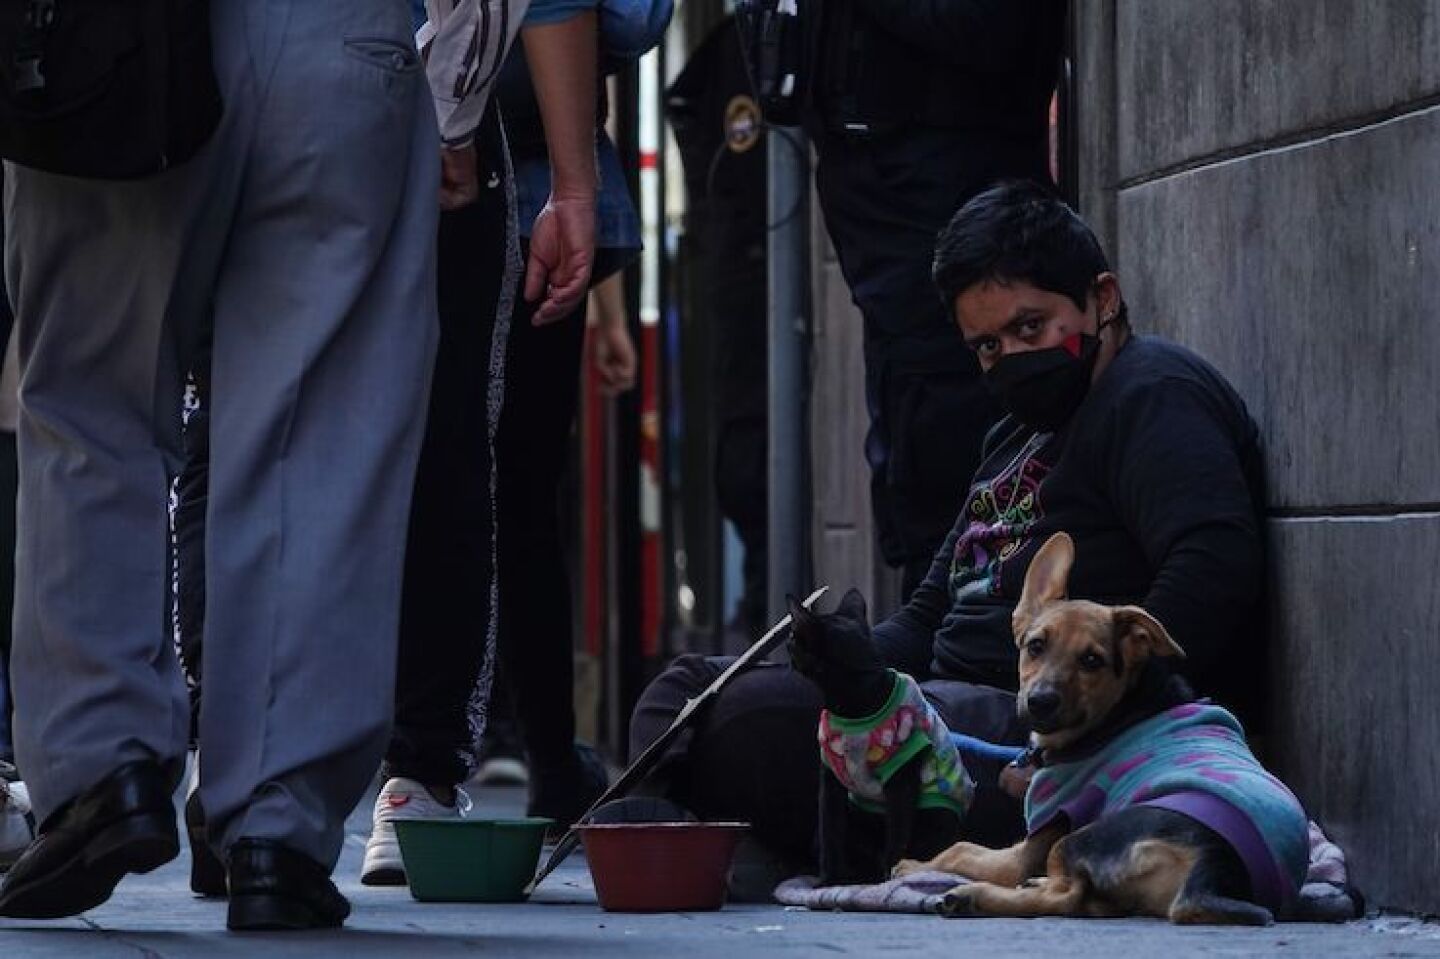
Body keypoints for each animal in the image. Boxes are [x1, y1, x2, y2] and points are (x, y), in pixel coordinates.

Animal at [898, 529, 1319, 921]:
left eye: (1092, 661)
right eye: (1035, 646)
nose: (1040, 703)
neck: (1119, 710)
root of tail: (1211, 864)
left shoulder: (1032, 841)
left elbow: (960, 850)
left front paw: (914, 865)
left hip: (1085, 835)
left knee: (1064, 899)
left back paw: (969, 895)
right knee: (1085, 900)